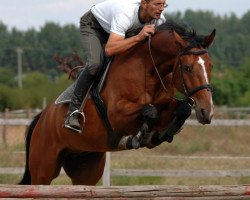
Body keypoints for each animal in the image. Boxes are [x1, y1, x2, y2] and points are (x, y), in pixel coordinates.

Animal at [19, 20, 216, 184]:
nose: (207, 111)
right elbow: (149, 110)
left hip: (86, 166)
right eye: (187, 68)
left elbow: (182, 109)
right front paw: (137, 137)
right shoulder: (116, 115)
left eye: (210, 66)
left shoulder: (166, 106)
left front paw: (160, 135)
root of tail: (42, 118)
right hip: (43, 168)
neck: (147, 70)